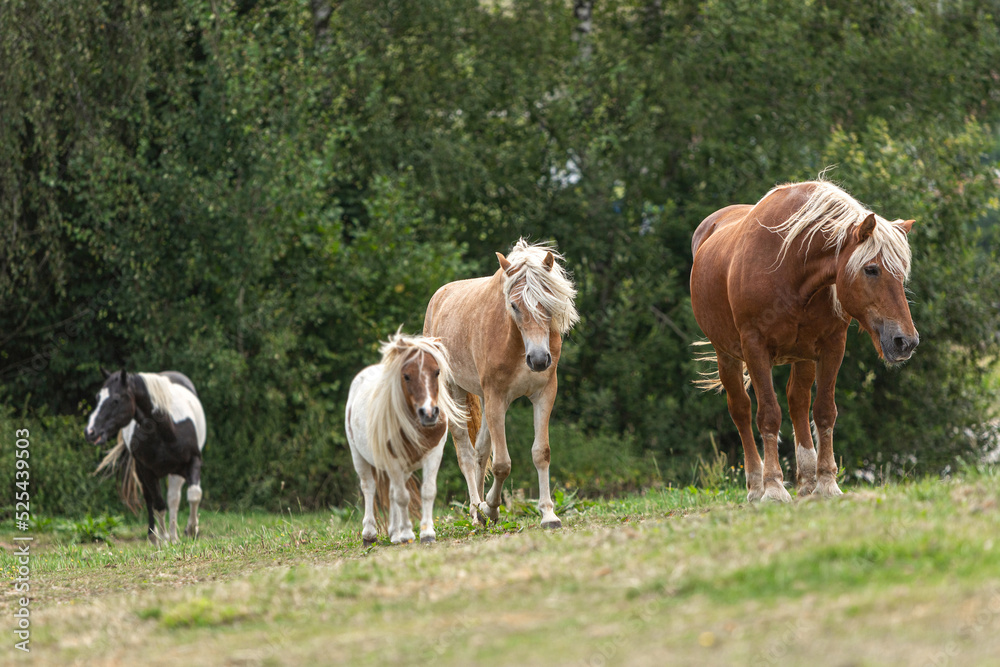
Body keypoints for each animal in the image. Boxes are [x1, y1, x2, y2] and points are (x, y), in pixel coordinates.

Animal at [84, 368, 207, 544]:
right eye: (97, 397)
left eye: (116, 400)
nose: (90, 432)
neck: (167, 432)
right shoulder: (147, 470)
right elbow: (158, 504)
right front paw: (163, 539)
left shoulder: (193, 461)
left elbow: (194, 495)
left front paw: (190, 530)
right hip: (143, 472)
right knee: (151, 500)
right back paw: (155, 536)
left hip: (175, 472)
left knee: (174, 499)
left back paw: (174, 537)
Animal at [344, 334, 464, 548]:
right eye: (406, 376)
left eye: (437, 372)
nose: (429, 413)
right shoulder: (393, 461)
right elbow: (402, 497)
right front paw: (408, 534)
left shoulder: (433, 454)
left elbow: (427, 491)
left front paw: (427, 533)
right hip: (359, 456)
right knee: (369, 488)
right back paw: (369, 535)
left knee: (391, 492)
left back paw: (394, 534)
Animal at [422, 239, 580, 528]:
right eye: (514, 306)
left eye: (548, 302)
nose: (538, 359)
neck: (516, 343)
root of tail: (439, 296)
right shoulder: (497, 398)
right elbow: (502, 464)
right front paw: (491, 508)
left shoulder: (544, 394)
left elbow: (541, 453)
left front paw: (548, 514)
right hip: (455, 392)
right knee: (466, 453)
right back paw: (476, 510)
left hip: (485, 401)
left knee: (480, 451)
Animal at [692, 180, 916, 504]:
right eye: (871, 269)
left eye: (902, 273)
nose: (905, 342)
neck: (791, 265)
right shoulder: (755, 347)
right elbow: (768, 415)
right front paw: (773, 487)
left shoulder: (832, 346)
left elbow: (824, 411)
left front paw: (826, 482)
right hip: (727, 356)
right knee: (741, 410)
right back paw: (755, 485)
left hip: (803, 355)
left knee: (798, 401)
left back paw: (807, 480)